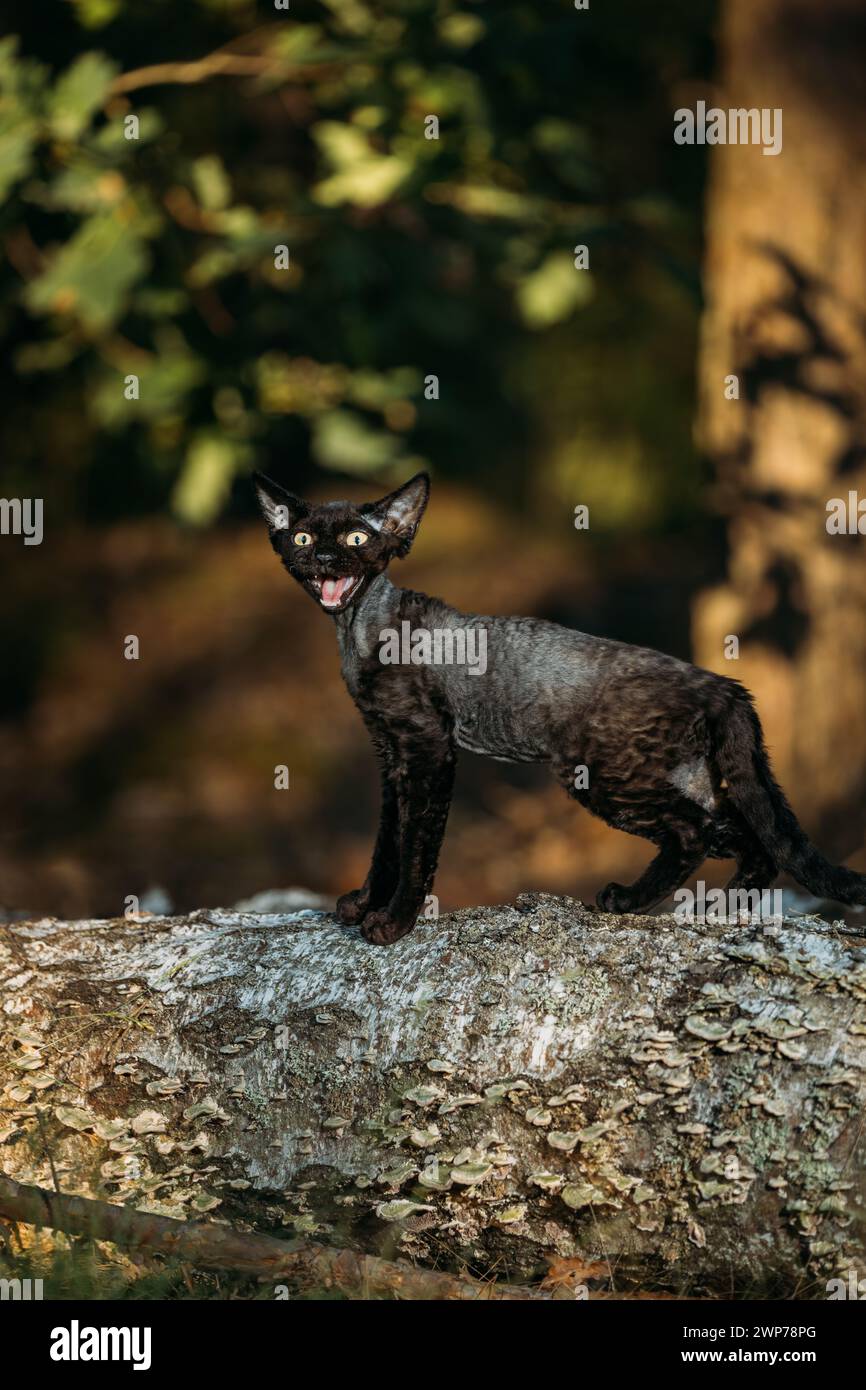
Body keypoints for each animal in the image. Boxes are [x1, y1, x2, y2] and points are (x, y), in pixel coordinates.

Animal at [254, 469, 861, 945]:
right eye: (302, 536)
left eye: (358, 537)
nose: (325, 557)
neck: (357, 629)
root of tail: (725, 686)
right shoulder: (389, 752)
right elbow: (387, 838)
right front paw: (363, 903)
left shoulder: (427, 749)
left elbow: (416, 843)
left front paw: (393, 923)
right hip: (686, 774)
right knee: (747, 835)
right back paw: (723, 909)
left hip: (601, 773)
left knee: (695, 832)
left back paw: (629, 900)